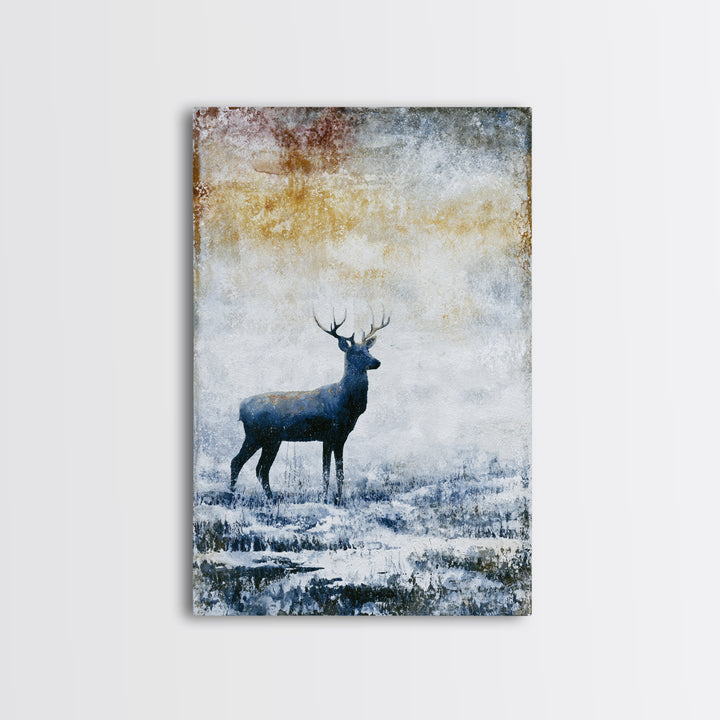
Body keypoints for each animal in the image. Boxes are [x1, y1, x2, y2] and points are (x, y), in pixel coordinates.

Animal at [229, 309, 390, 504]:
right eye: (356, 353)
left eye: (368, 349)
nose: (377, 362)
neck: (346, 403)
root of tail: (241, 407)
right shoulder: (329, 434)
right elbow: (326, 472)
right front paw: (324, 498)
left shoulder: (341, 437)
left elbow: (340, 472)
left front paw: (339, 499)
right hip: (255, 434)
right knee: (237, 462)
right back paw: (231, 496)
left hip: (272, 439)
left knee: (261, 469)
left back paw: (271, 499)